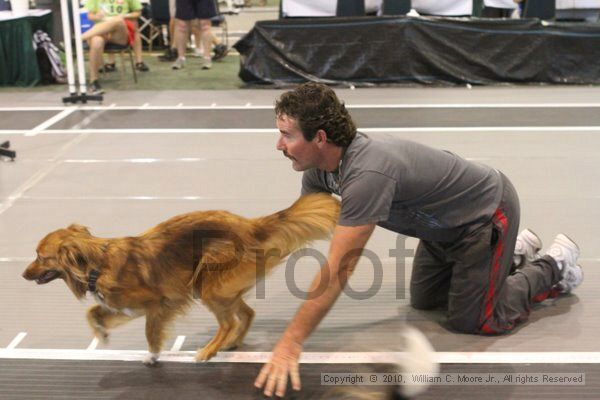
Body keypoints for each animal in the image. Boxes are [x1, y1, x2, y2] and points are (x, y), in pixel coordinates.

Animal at [23, 194, 340, 366]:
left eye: (40, 256)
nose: (23, 274)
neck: (96, 264)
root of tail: (250, 226)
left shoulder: (158, 304)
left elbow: (150, 333)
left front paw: (152, 356)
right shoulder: (124, 307)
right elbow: (93, 312)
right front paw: (101, 333)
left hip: (207, 286)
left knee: (228, 321)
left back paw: (209, 350)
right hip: (222, 288)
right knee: (246, 313)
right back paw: (231, 343)